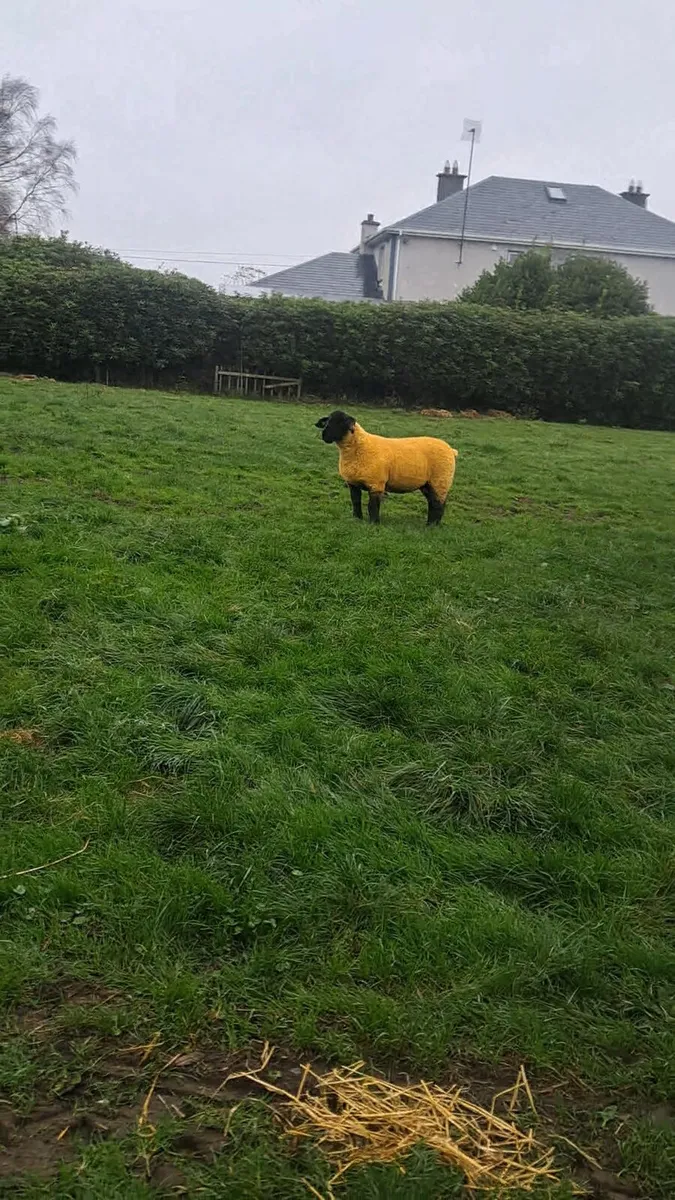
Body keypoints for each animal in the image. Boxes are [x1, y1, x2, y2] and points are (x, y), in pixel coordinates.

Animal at [315, 410, 458, 526]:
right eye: (327, 421)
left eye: (342, 422)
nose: (324, 435)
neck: (359, 447)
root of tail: (451, 450)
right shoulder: (353, 483)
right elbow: (355, 502)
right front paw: (357, 519)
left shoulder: (376, 484)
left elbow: (372, 506)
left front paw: (374, 523)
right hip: (428, 484)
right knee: (433, 503)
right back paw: (431, 523)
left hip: (440, 480)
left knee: (438, 504)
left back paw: (432, 526)